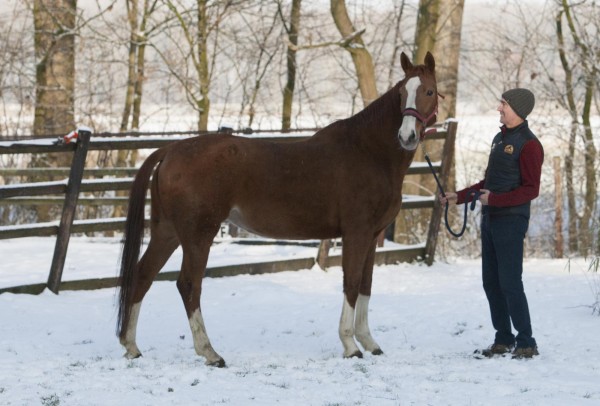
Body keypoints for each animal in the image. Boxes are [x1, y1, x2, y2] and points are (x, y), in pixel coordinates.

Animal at [117, 51, 438, 368]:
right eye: (402, 93)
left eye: (429, 91)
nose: (407, 136)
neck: (368, 152)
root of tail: (170, 150)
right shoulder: (356, 234)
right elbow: (350, 283)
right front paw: (350, 346)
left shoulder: (372, 236)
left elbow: (365, 286)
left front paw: (369, 342)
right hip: (199, 235)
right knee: (188, 285)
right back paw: (210, 352)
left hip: (168, 232)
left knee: (143, 275)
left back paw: (131, 346)